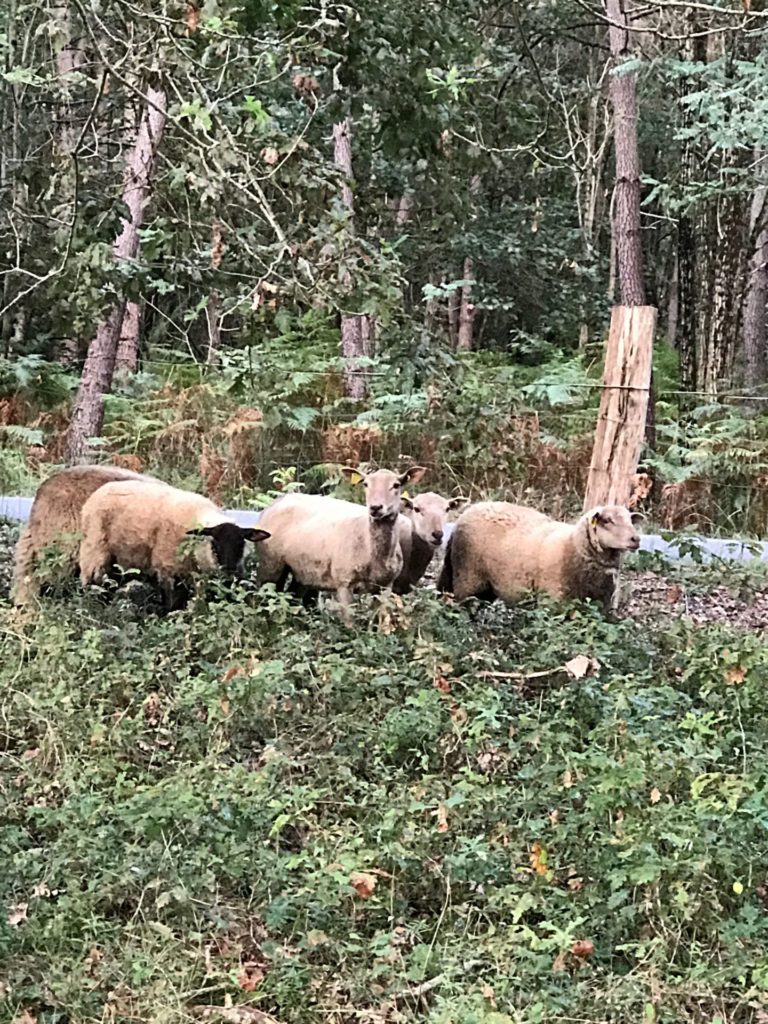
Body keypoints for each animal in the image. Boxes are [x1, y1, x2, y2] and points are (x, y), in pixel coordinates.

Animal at [78, 479, 270, 606]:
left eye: (241, 543)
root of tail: (99, 491)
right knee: (92, 584)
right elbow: (171, 603)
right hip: (94, 550)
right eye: (214, 543)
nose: (229, 569)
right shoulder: (167, 568)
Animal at [257, 466, 428, 622]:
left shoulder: (385, 587)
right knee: (266, 592)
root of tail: (275, 503)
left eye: (396, 485)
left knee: (293, 595)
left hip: (303, 570)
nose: (375, 508)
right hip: (270, 562)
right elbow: (350, 624)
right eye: (365, 484)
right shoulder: (344, 583)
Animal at [438, 501, 643, 610]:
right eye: (607, 520)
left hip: (486, 585)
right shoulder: (554, 604)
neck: (572, 545)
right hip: (467, 578)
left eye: (630, 520)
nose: (636, 539)